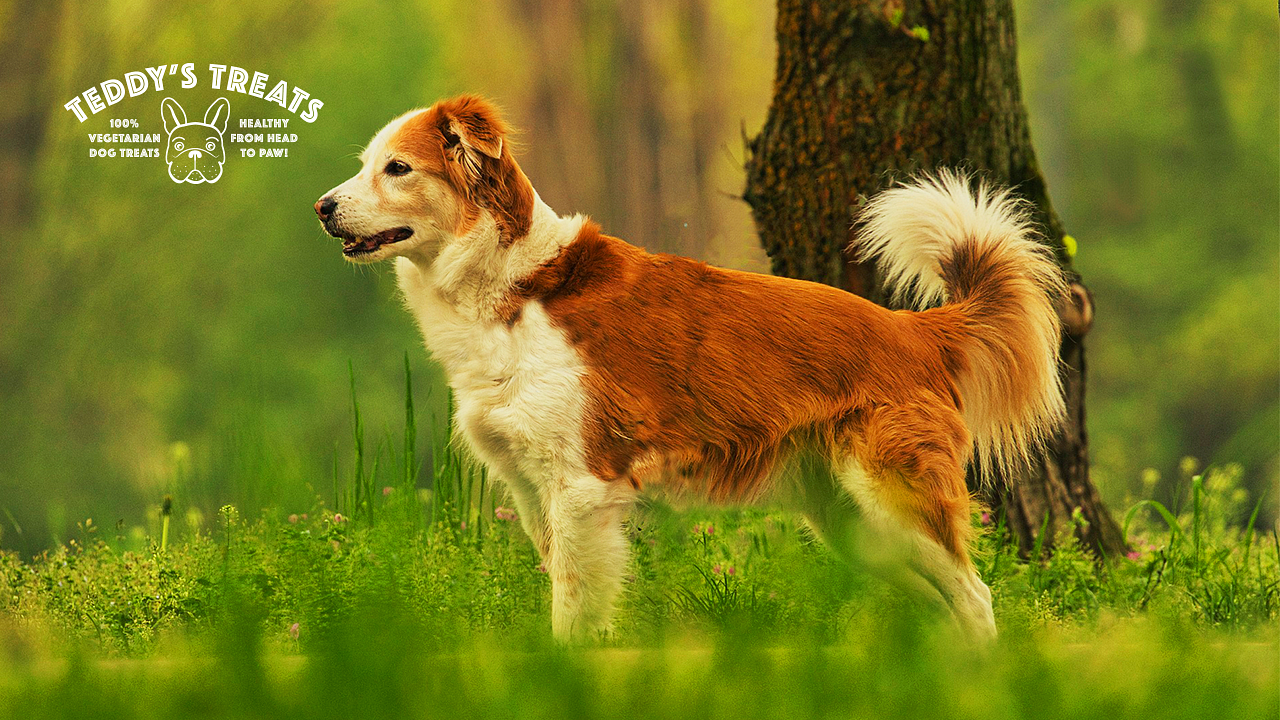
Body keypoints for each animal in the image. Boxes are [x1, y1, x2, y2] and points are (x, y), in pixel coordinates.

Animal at [314, 94, 1064, 638]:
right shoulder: (532, 491)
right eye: (366, 164)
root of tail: (913, 329)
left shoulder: (582, 489)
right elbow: (564, 592)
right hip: (853, 524)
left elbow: (574, 609)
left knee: (975, 595)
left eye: (398, 169)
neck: (514, 292)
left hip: (891, 501)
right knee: (946, 602)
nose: (320, 207)